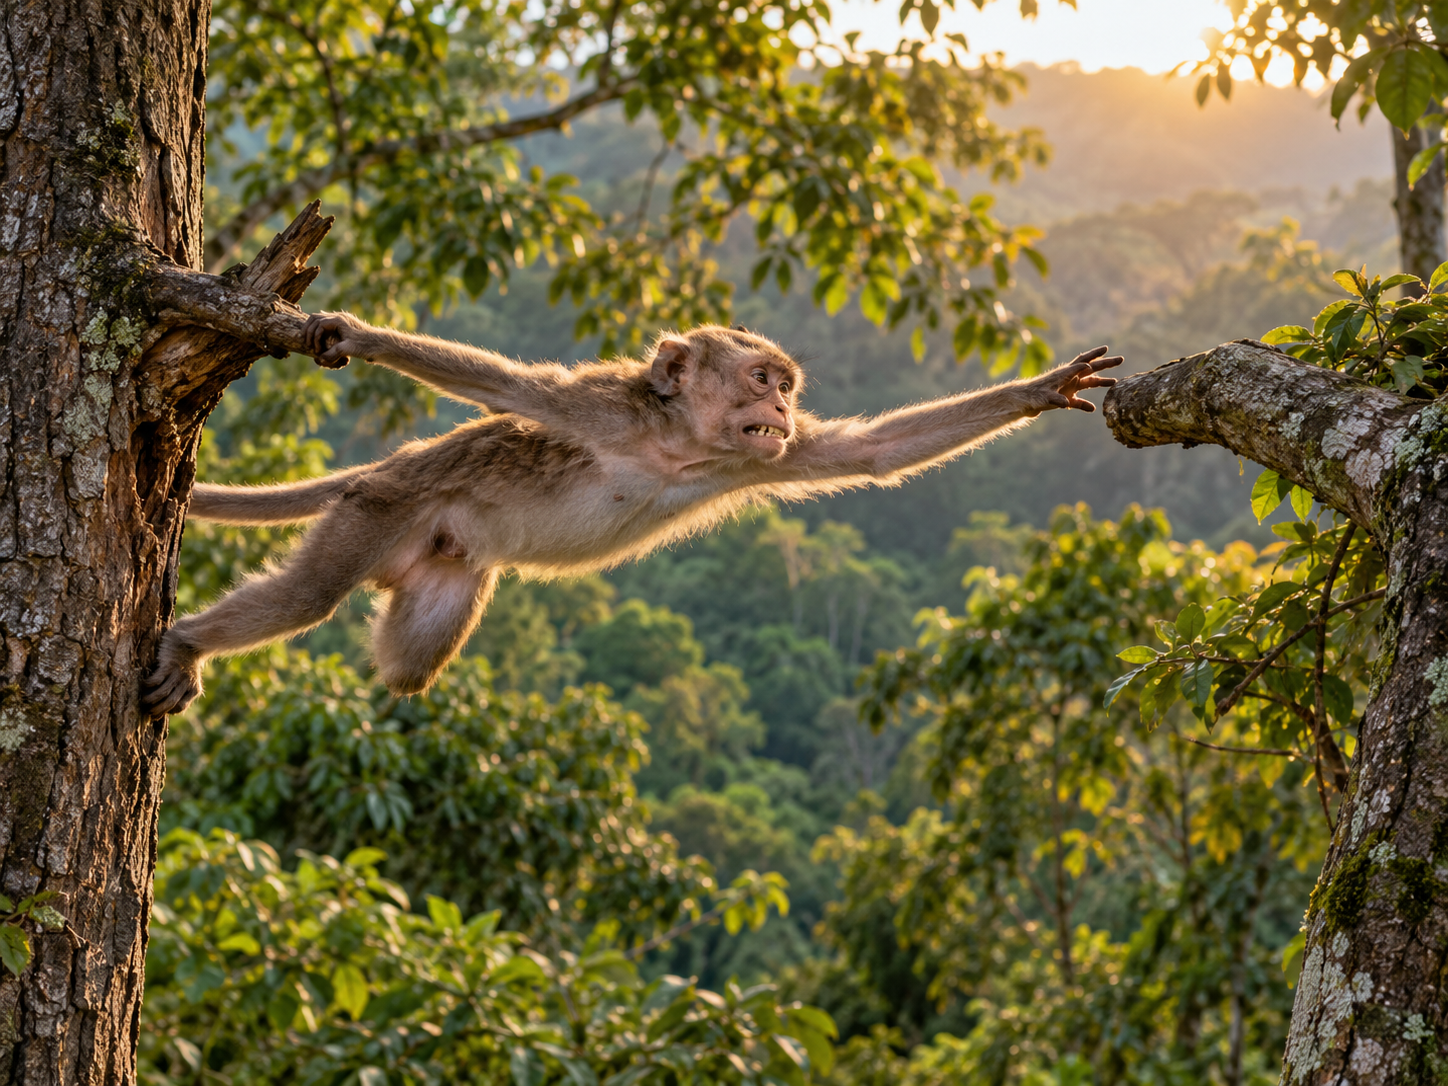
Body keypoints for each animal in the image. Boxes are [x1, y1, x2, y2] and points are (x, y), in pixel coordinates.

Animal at [143, 316, 1121, 715]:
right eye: (761, 378)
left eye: (786, 388)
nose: (784, 407)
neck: (674, 445)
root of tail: (397, 469)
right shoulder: (600, 411)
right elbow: (507, 386)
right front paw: (357, 334)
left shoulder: (748, 459)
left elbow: (874, 453)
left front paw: (1042, 389)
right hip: (377, 510)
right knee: (309, 598)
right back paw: (187, 643)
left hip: (441, 559)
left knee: (407, 668)